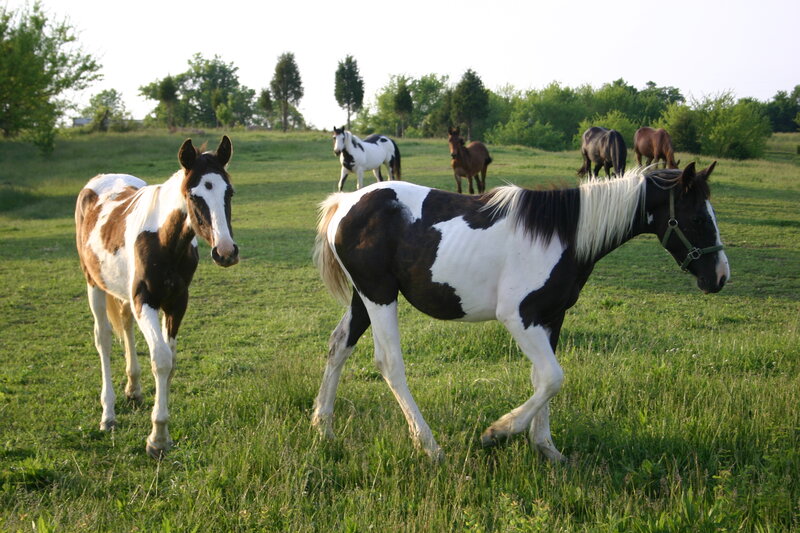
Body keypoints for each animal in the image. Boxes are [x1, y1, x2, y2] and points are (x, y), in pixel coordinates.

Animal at [75, 136, 238, 459]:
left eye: (229, 192)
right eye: (194, 195)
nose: (225, 252)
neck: (164, 242)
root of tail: (99, 180)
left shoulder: (177, 302)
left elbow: (170, 359)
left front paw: (161, 428)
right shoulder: (145, 302)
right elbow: (160, 358)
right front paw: (157, 439)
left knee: (124, 325)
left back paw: (133, 390)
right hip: (94, 284)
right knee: (104, 339)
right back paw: (108, 415)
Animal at [311, 162, 728, 462]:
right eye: (697, 218)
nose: (720, 276)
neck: (563, 235)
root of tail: (344, 203)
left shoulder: (551, 319)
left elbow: (543, 379)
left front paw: (546, 448)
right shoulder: (520, 318)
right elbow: (553, 378)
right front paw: (498, 432)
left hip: (364, 299)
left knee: (338, 347)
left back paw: (323, 428)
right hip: (379, 296)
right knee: (389, 363)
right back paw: (429, 446)